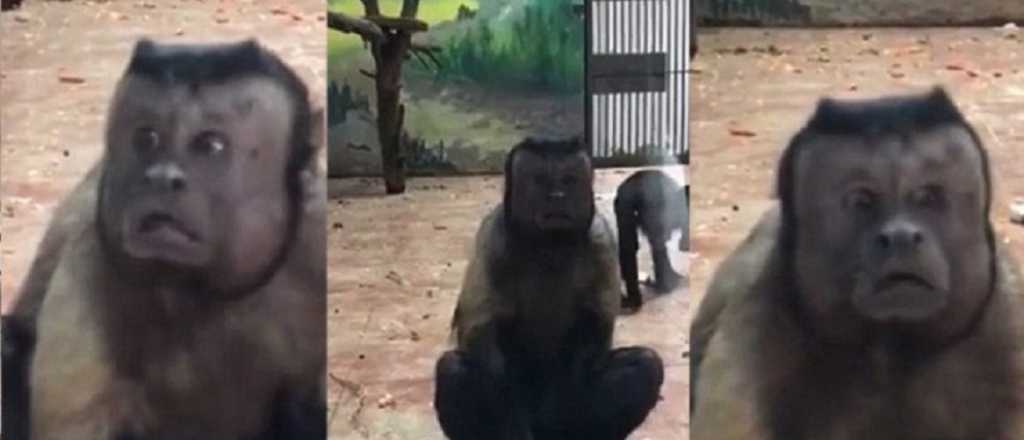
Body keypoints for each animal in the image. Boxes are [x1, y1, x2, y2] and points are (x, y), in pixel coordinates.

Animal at [0, 38, 327, 439]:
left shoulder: (314, 243)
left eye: (210, 145)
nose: (160, 177)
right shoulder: (91, 253)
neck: (199, 291)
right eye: (147, 138)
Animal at [434, 138, 665, 440]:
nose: (556, 196)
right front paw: (513, 422)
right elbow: (480, 333)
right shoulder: (494, 237)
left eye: (567, 181)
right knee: (452, 369)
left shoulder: (601, 240)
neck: (549, 245)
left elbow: (595, 327)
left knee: (645, 364)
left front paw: (566, 403)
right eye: (541, 181)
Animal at [690, 87, 1024, 440]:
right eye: (862, 202)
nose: (900, 236)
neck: (890, 347)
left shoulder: (1009, 320)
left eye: (926, 197)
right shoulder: (755, 320)